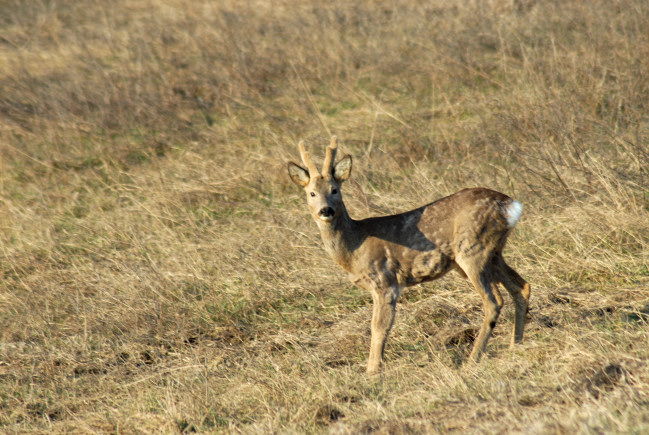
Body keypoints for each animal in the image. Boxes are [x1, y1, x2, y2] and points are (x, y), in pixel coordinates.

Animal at [290, 136, 532, 374]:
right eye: (311, 193)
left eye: (334, 190)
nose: (326, 210)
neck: (354, 248)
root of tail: (509, 205)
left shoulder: (385, 281)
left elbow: (379, 327)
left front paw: (372, 372)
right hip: (493, 253)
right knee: (521, 286)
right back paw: (515, 346)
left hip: (473, 250)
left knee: (494, 301)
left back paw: (472, 360)